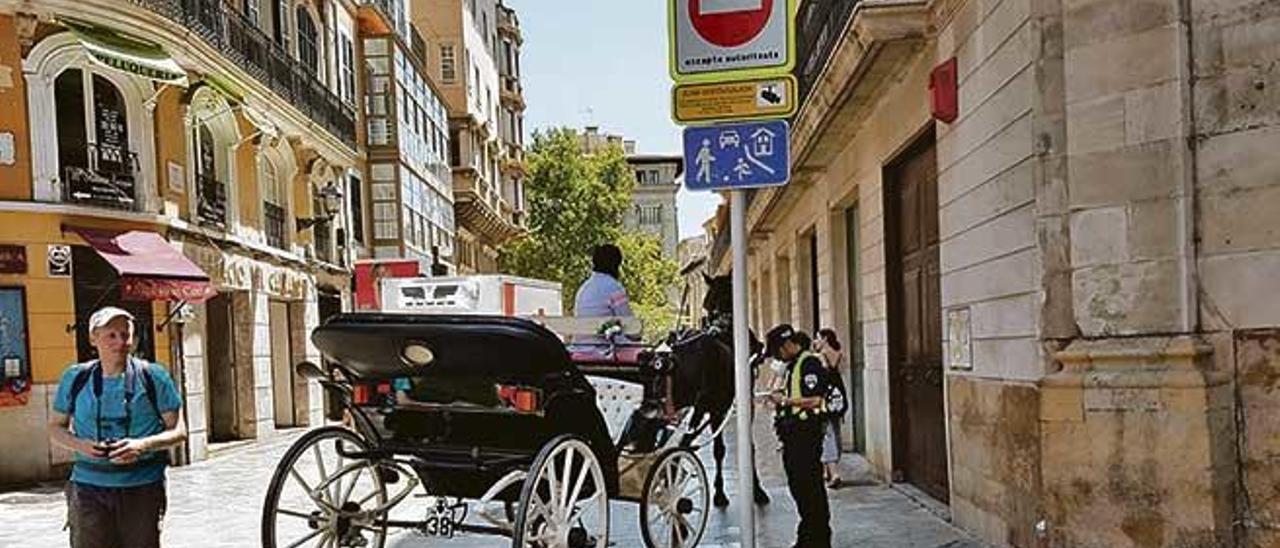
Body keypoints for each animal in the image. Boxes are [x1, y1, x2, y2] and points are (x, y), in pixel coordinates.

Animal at [665, 274, 773, 509]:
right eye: (707, 304)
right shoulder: (729, 406)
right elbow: (739, 447)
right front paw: (754, 490)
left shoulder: (716, 408)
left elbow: (720, 448)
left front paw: (721, 491)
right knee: (684, 443)